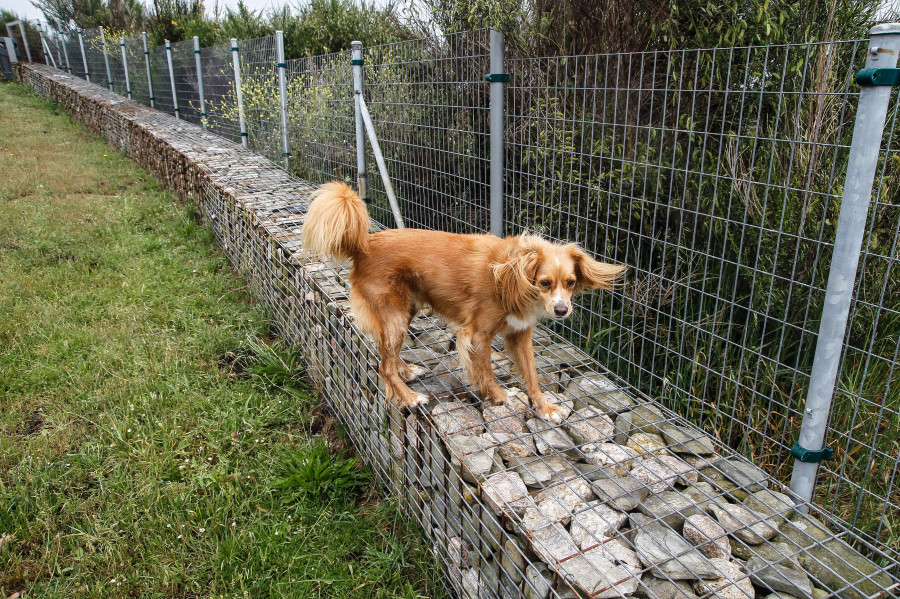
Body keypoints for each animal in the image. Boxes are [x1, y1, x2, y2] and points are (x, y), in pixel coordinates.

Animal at [302, 182, 624, 422]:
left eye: (570, 283)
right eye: (545, 283)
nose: (561, 310)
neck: (512, 278)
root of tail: (366, 245)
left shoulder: (521, 334)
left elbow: (532, 375)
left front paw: (544, 408)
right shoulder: (477, 334)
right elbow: (485, 370)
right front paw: (499, 395)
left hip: (406, 311)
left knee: (387, 356)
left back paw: (406, 372)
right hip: (394, 316)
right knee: (383, 368)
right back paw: (410, 397)